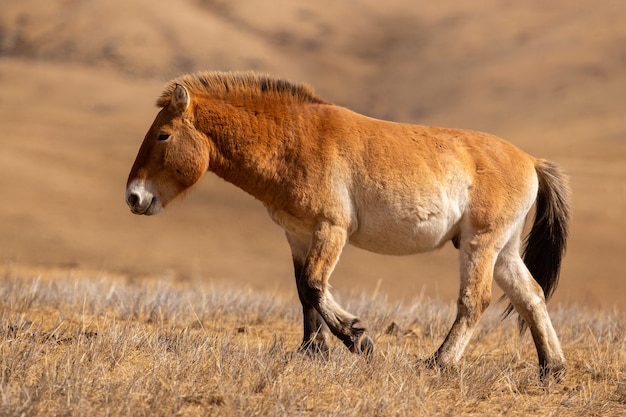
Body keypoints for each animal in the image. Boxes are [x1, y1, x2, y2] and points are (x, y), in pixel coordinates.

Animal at [127, 70, 572, 380]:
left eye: (163, 135)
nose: (134, 197)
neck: (294, 139)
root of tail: (531, 161)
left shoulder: (331, 230)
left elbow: (314, 285)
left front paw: (358, 339)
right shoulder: (297, 235)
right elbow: (304, 291)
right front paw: (312, 351)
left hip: (480, 244)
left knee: (474, 301)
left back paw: (437, 362)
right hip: (503, 250)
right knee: (531, 297)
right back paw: (552, 368)